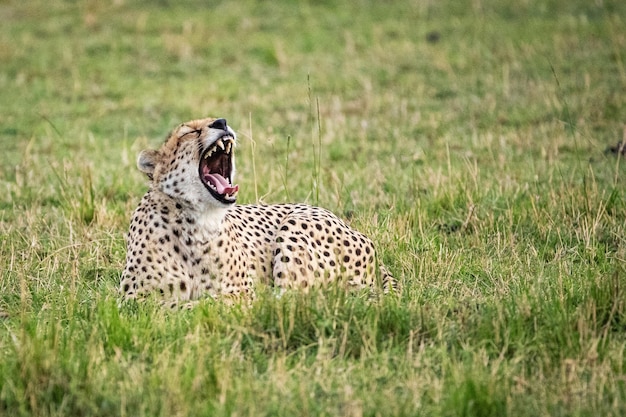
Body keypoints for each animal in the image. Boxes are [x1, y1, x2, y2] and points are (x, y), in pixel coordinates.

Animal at [120, 117, 394, 306]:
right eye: (189, 132)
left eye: (215, 121)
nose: (221, 122)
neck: (197, 222)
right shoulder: (129, 299)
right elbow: (170, 305)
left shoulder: (239, 288)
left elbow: (214, 302)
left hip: (295, 225)